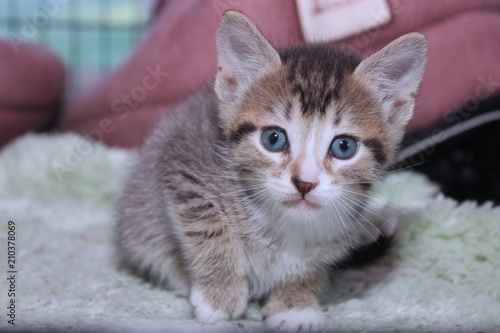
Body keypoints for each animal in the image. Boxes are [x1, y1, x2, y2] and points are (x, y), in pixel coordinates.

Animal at [115, 9, 428, 330]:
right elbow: (207, 226)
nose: (304, 183)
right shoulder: (182, 161)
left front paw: (295, 303)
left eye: (344, 147)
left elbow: (314, 264)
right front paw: (220, 294)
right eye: (273, 139)